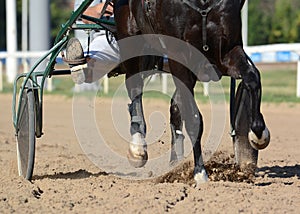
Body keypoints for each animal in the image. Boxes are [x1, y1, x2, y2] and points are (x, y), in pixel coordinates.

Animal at [112, 0, 270, 185]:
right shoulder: (180, 57)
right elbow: (193, 119)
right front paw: (200, 173)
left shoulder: (228, 49)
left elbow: (253, 77)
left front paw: (258, 134)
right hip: (131, 41)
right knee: (135, 89)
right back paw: (138, 148)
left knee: (174, 106)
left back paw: (174, 163)